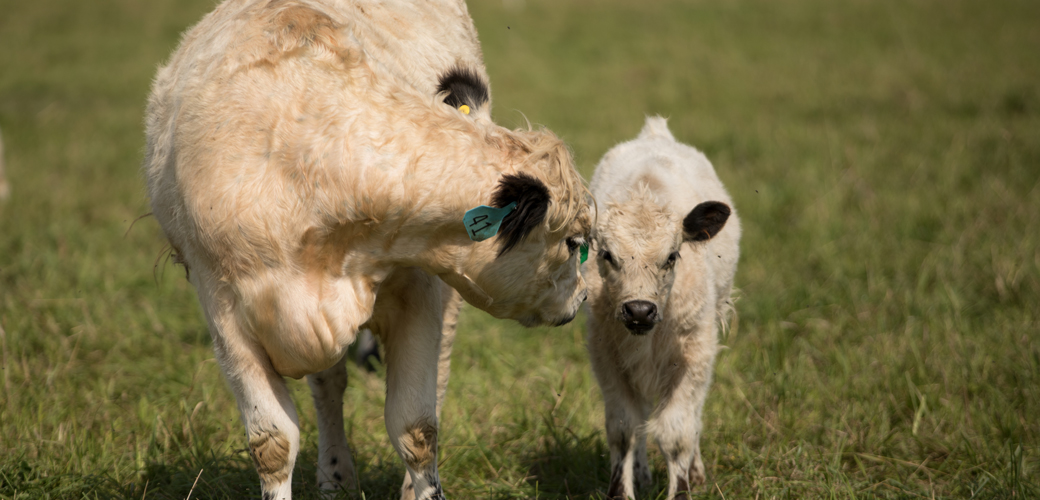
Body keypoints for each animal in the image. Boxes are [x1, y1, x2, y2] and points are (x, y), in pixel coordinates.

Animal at [143, 1, 594, 496]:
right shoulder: (223, 308)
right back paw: (335, 476)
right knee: (328, 387)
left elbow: (416, 428)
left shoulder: (422, 291)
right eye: (574, 242)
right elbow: (272, 443)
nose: (583, 297)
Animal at [586, 115, 740, 498]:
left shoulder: (694, 354)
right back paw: (642, 473)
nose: (639, 310)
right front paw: (622, 490)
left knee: (693, 417)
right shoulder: (606, 354)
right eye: (606, 254)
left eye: (672, 256)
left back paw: (696, 470)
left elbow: (677, 432)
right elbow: (623, 428)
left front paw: (682, 486)